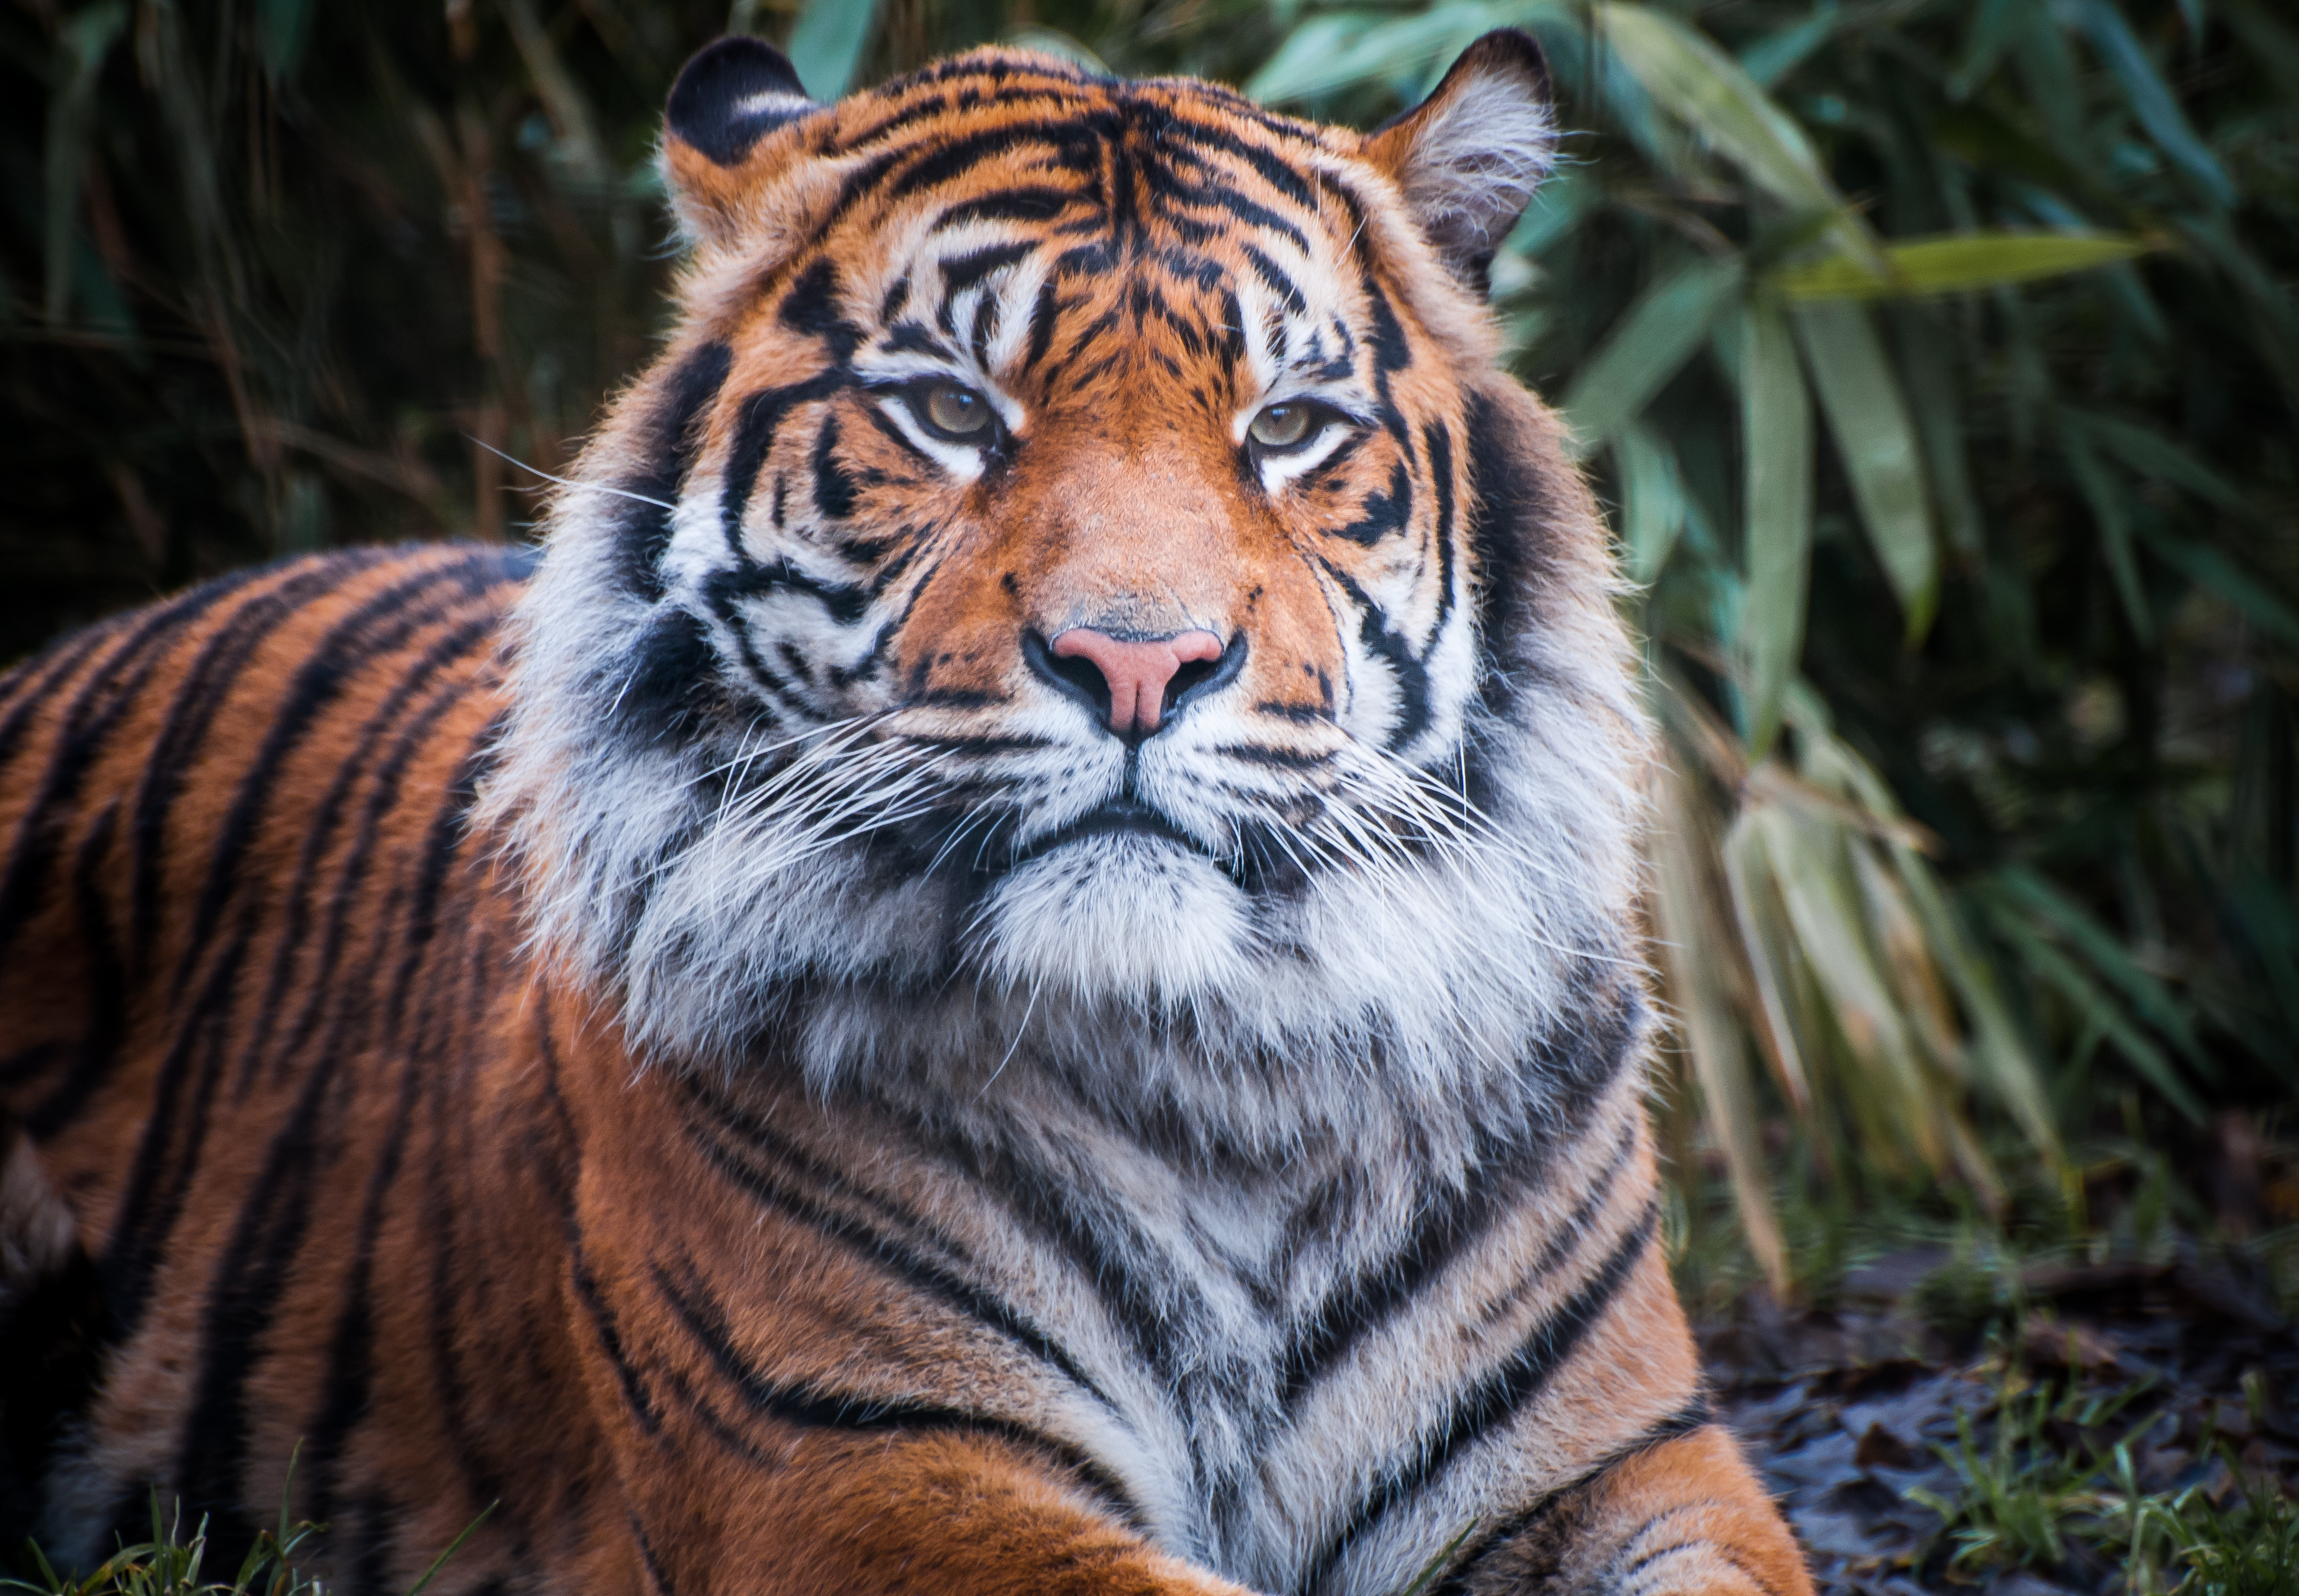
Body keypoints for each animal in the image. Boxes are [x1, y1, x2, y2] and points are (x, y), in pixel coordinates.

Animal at [0, 25, 1811, 1596]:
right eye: (950, 410)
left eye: (1287, 428)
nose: (1138, 658)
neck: (1220, 1083)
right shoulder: (860, 1465)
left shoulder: (1624, 1456)